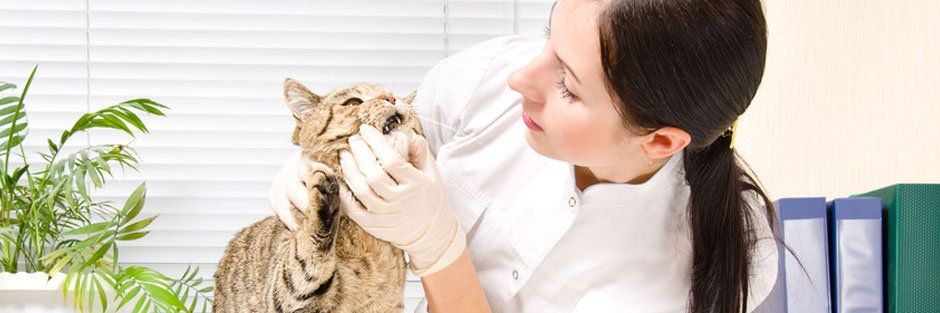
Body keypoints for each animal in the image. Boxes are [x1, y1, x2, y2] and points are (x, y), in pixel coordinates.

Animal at [213, 78, 422, 312]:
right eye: (353, 102)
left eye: (396, 95)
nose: (392, 99)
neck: (366, 235)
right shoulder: (280, 299)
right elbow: (302, 265)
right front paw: (321, 204)